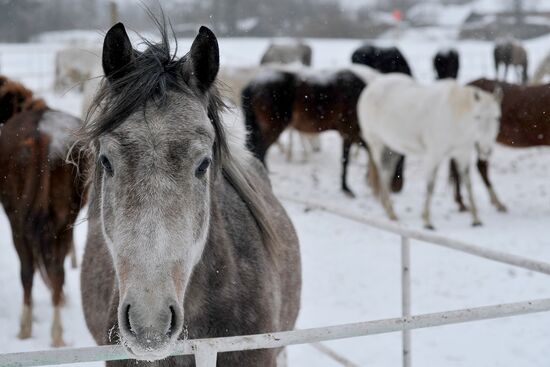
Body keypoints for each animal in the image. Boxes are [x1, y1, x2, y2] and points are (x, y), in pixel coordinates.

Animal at [0, 76, 87, 346]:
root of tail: (41, 136)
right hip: (60, 221)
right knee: (52, 270)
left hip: (19, 221)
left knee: (30, 270)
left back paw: (28, 327)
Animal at [242, 67, 406, 197]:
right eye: (399, 161)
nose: (398, 188)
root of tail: (252, 84)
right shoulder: (349, 134)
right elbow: (346, 160)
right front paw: (346, 188)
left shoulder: (351, 135)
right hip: (272, 130)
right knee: (260, 152)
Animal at [360, 74, 502, 230]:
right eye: (477, 117)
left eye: (497, 117)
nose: (485, 150)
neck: (454, 116)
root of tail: (372, 86)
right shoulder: (434, 155)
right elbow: (430, 185)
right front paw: (427, 221)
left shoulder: (462, 154)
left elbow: (468, 184)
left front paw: (476, 219)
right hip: (377, 144)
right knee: (382, 174)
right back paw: (391, 212)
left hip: (393, 148)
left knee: (387, 173)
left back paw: (388, 209)